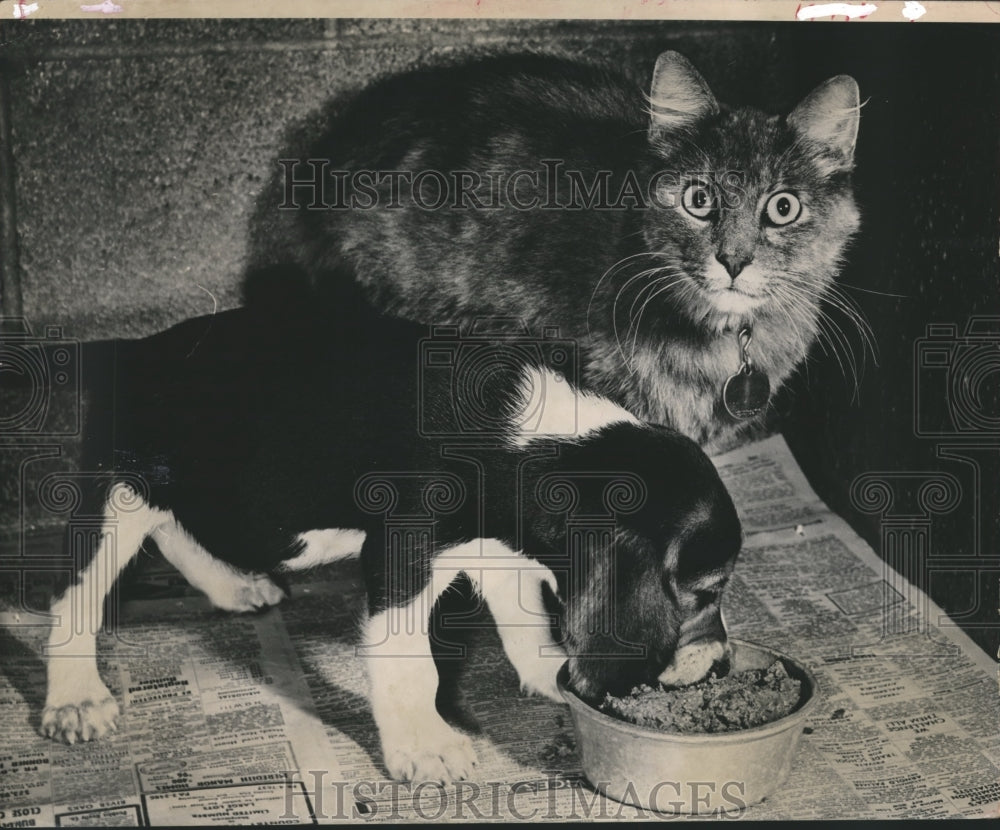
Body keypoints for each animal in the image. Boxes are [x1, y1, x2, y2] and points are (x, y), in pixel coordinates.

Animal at [41, 278, 744, 788]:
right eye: (705, 590)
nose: (722, 665)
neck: (537, 442)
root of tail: (136, 347)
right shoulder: (403, 551)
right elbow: (411, 665)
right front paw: (425, 747)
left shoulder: (495, 545)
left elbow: (523, 614)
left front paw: (552, 672)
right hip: (119, 489)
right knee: (77, 593)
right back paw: (75, 696)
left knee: (175, 529)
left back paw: (232, 585)